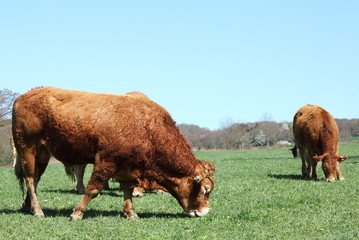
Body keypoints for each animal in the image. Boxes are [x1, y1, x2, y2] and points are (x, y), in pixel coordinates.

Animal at [11, 87, 217, 219]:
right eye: (206, 189)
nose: (204, 212)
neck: (146, 127)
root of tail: (23, 96)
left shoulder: (127, 166)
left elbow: (127, 189)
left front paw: (131, 213)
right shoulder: (106, 160)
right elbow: (94, 188)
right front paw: (77, 213)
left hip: (42, 153)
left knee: (35, 179)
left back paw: (28, 206)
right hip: (27, 149)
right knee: (30, 179)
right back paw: (38, 211)